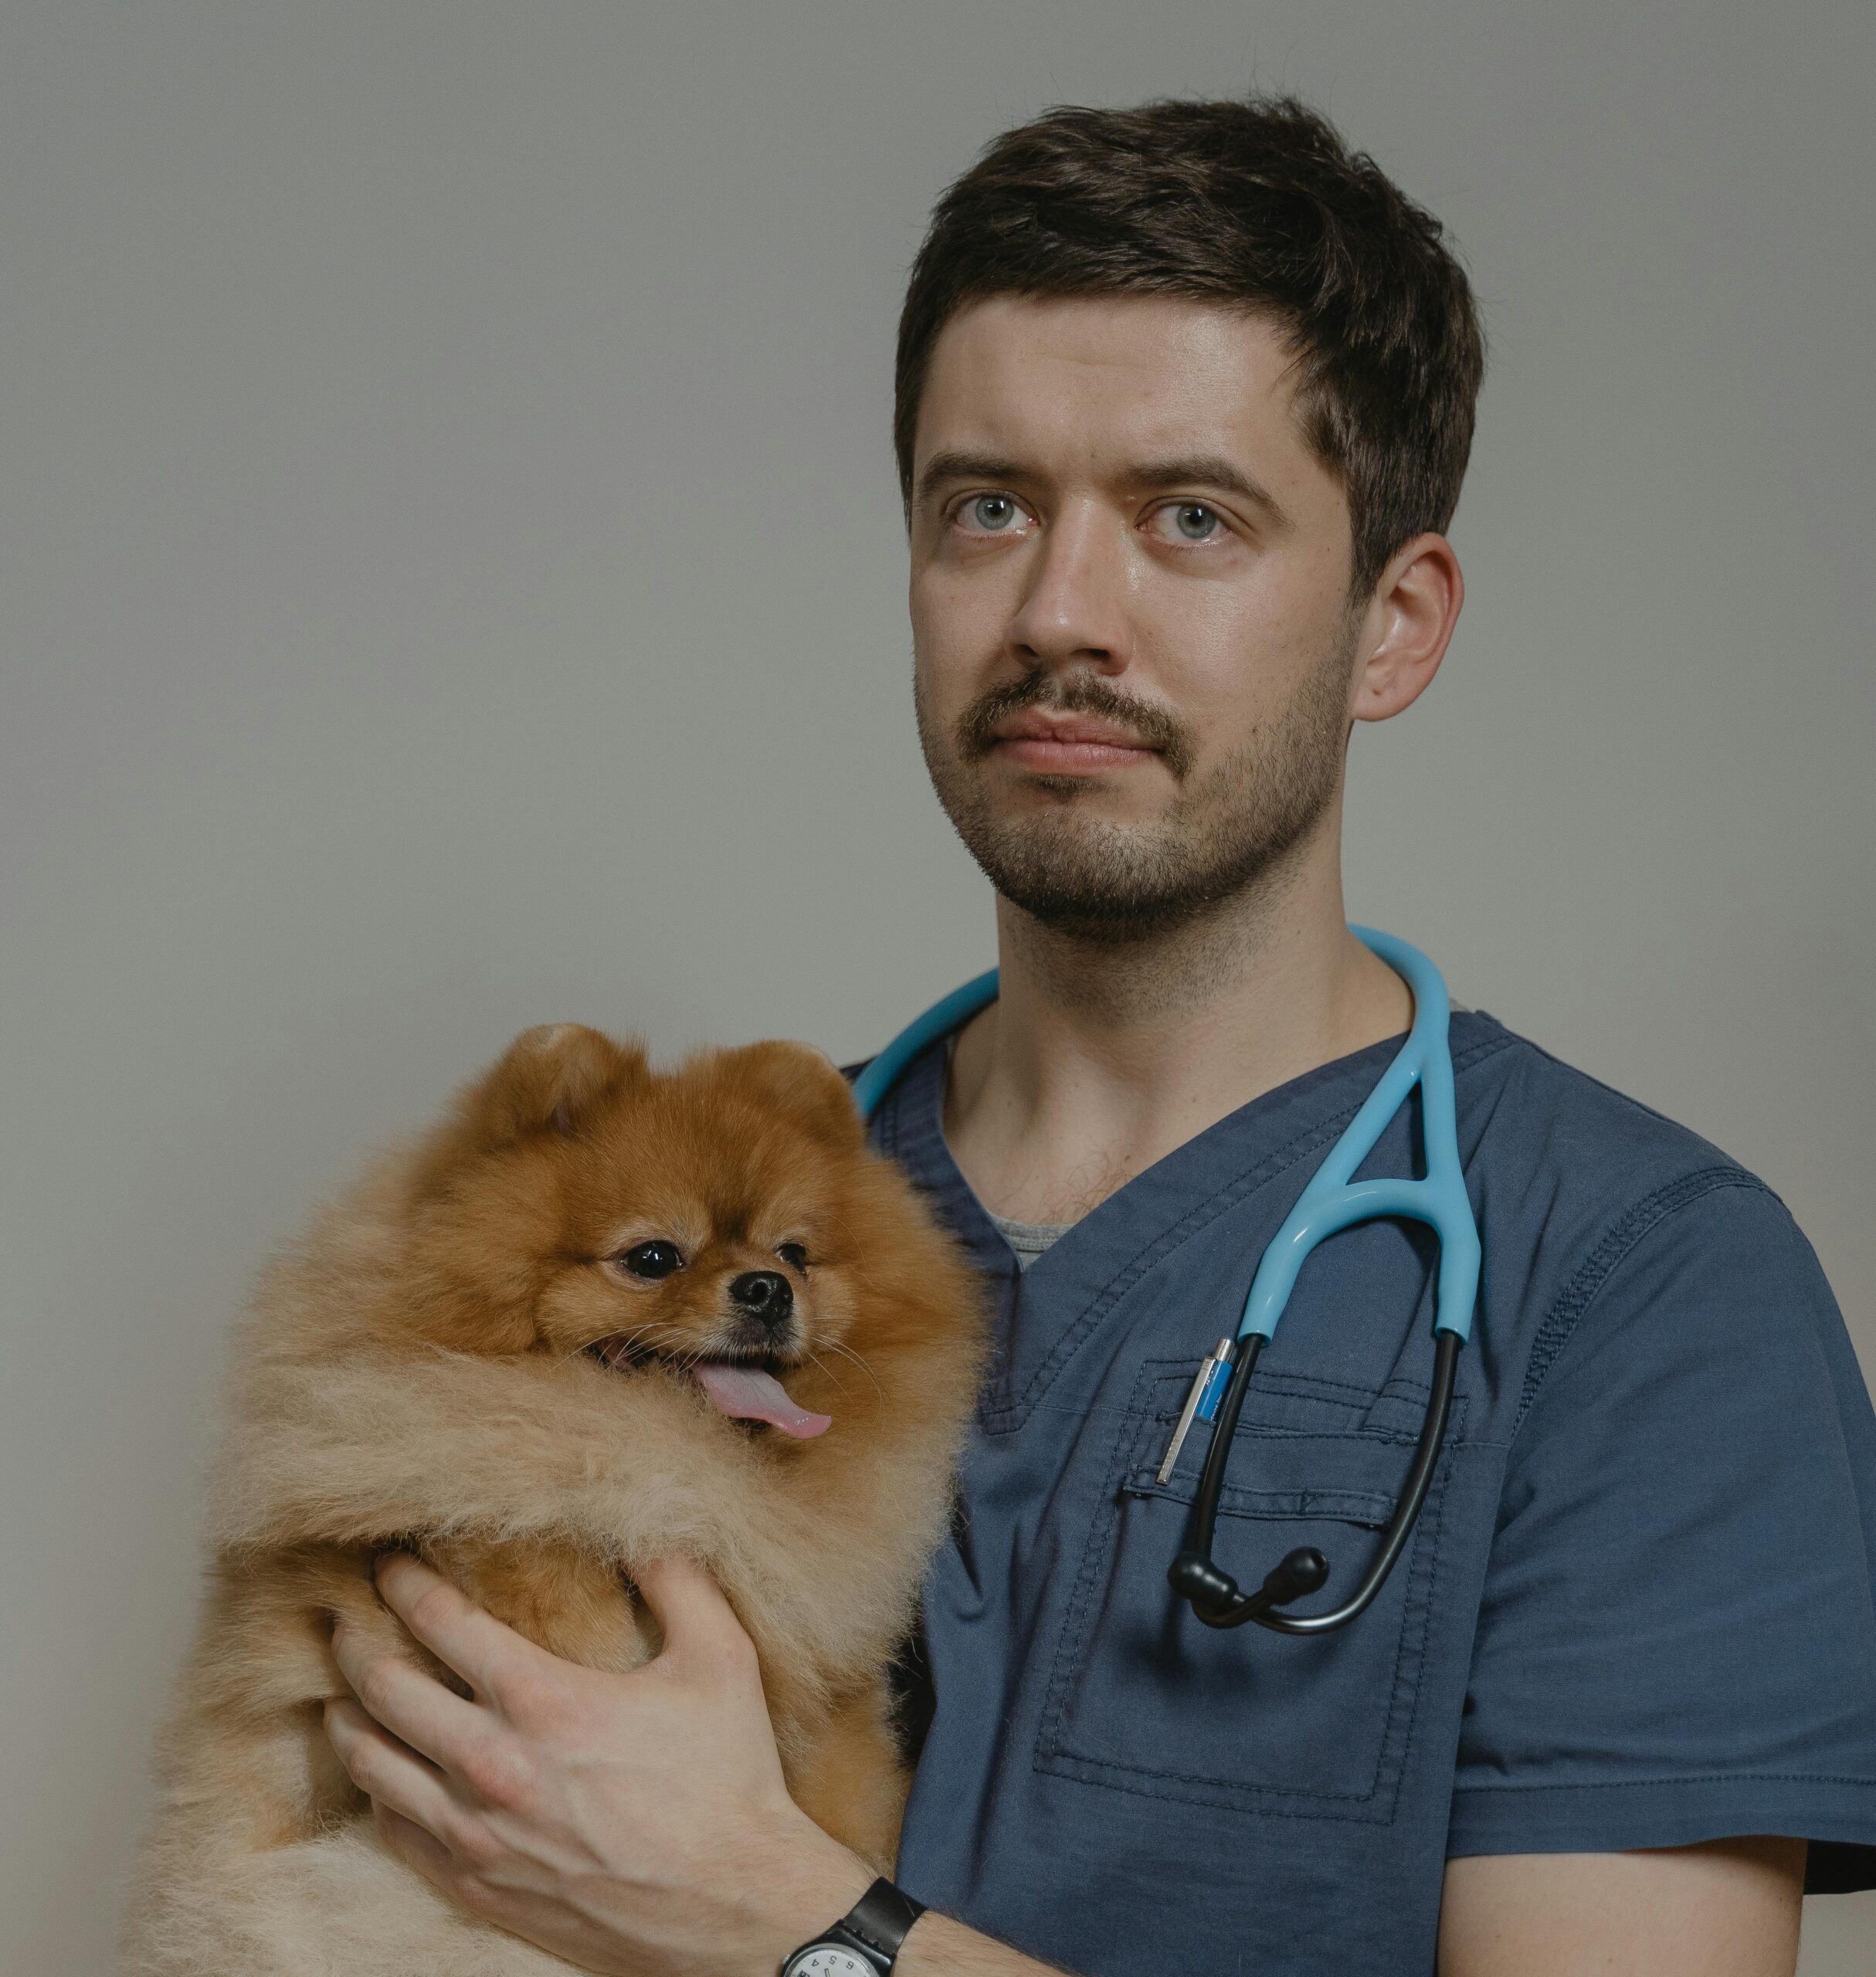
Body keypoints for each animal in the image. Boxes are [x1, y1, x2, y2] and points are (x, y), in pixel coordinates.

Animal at [120, 1028, 980, 1969]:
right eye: (653, 1257)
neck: (691, 1469)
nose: (766, 1288)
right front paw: (577, 1609)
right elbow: (516, 1531)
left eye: (793, 1252)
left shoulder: (833, 1715)